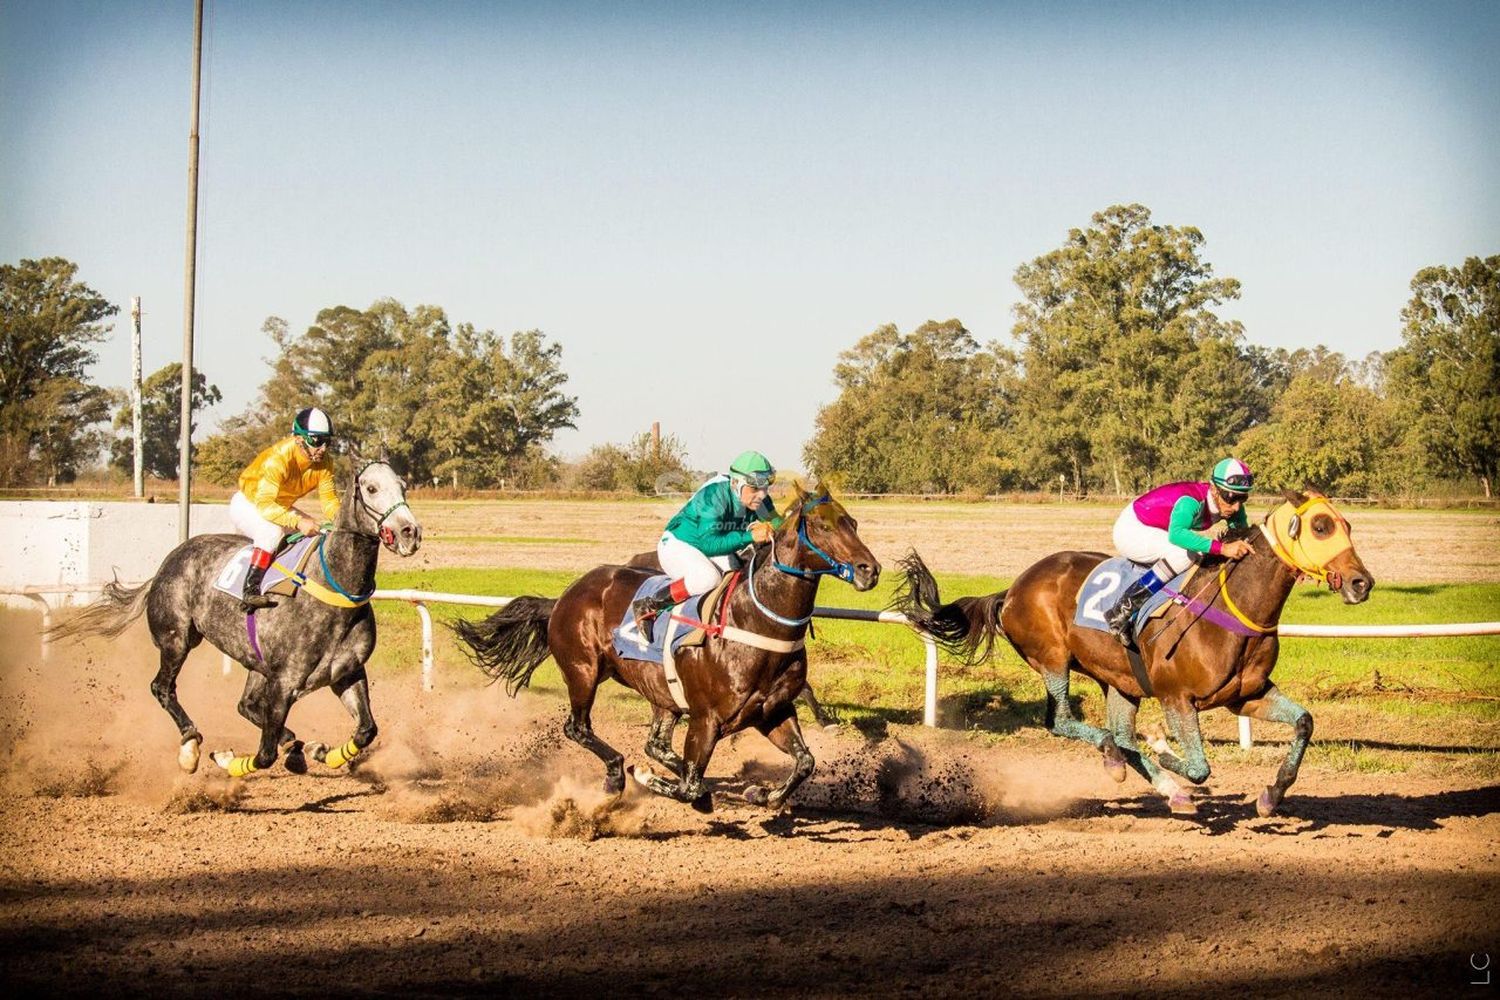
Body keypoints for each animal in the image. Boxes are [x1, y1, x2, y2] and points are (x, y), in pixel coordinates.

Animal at [47, 452, 423, 773]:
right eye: (371, 488)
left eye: (402, 485)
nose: (410, 532)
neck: (333, 590)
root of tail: (168, 562)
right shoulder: (284, 682)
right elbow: (264, 755)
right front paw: (228, 759)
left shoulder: (347, 673)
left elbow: (366, 730)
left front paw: (321, 752)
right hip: (176, 639)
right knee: (163, 688)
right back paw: (191, 745)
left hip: (252, 660)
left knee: (246, 705)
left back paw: (298, 746)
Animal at [453, 485, 876, 815]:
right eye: (823, 526)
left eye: (852, 522)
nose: (870, 570)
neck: (754, 621)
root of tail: (564, 596)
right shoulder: (706, 719)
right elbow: (689, 785)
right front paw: (646, 777)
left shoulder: (772, 711)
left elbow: (805, 761)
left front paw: (763, 793)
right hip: (583, 670)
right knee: (579, 728)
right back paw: (617, 774)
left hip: (661, 694)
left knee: (655, 743)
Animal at [888, 488, 1374, 815]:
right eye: (1321, 526)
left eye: (1348, 525)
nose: (1361, 583)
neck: (1233, 606)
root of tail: (1012, 588)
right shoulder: (1178, 698)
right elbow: (1198, 766)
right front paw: (1161, 744)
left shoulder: (1246, 695)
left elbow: (1304, 722)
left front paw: (1271, 796)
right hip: (1052, 659)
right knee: (1065, 722)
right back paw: (1123, 763)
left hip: (1120, 681)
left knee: (1120, 735)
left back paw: (1161, 787)